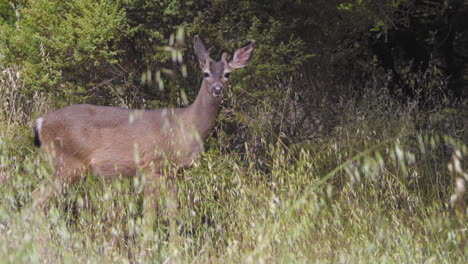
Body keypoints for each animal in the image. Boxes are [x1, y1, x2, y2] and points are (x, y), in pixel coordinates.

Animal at [32, 34, 256, 217]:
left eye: (227, 74)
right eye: (206, 73)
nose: (217, 89)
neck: (186, 126)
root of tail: (41, 122)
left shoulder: (175, 171)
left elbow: (172, 211)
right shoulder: (151, 166)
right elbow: (149, 214)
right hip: (68, 162)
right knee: (37, 196)